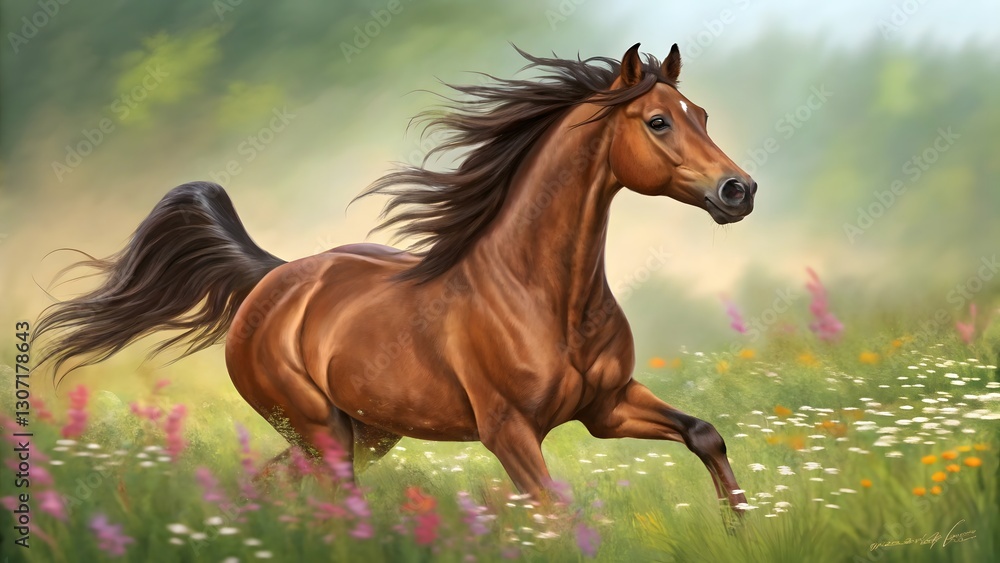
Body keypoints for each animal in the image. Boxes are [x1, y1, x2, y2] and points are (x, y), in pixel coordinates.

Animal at [36, 43, 756, 514]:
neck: (545, 297)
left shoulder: (606, 407)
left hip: (363, 433)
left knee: (274, 482)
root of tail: (275, 279)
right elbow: (559, 509)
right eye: (658, 120)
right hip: (320, 429)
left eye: (702, 115)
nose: (739, 190)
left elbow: (705, 434)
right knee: (334, 500)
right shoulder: (508, 431)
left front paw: (737, 528)